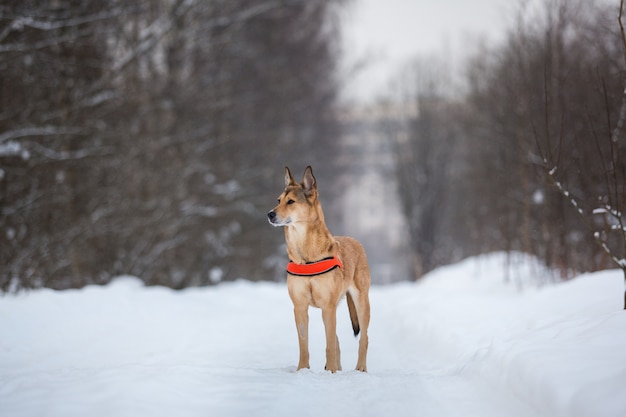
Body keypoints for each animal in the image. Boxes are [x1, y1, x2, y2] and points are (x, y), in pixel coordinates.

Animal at [266, 164, 368, 372]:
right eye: (278, 200)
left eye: (291, 201)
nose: (270, 214)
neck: (306, 254)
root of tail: (355, 240)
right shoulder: (300, 307)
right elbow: (304, 344)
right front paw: (303, 370)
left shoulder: (328, 307)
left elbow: (329, 344)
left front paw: (330, 371)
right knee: (337, 339)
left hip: (361, 302)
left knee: (364, 338)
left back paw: (359, 368)